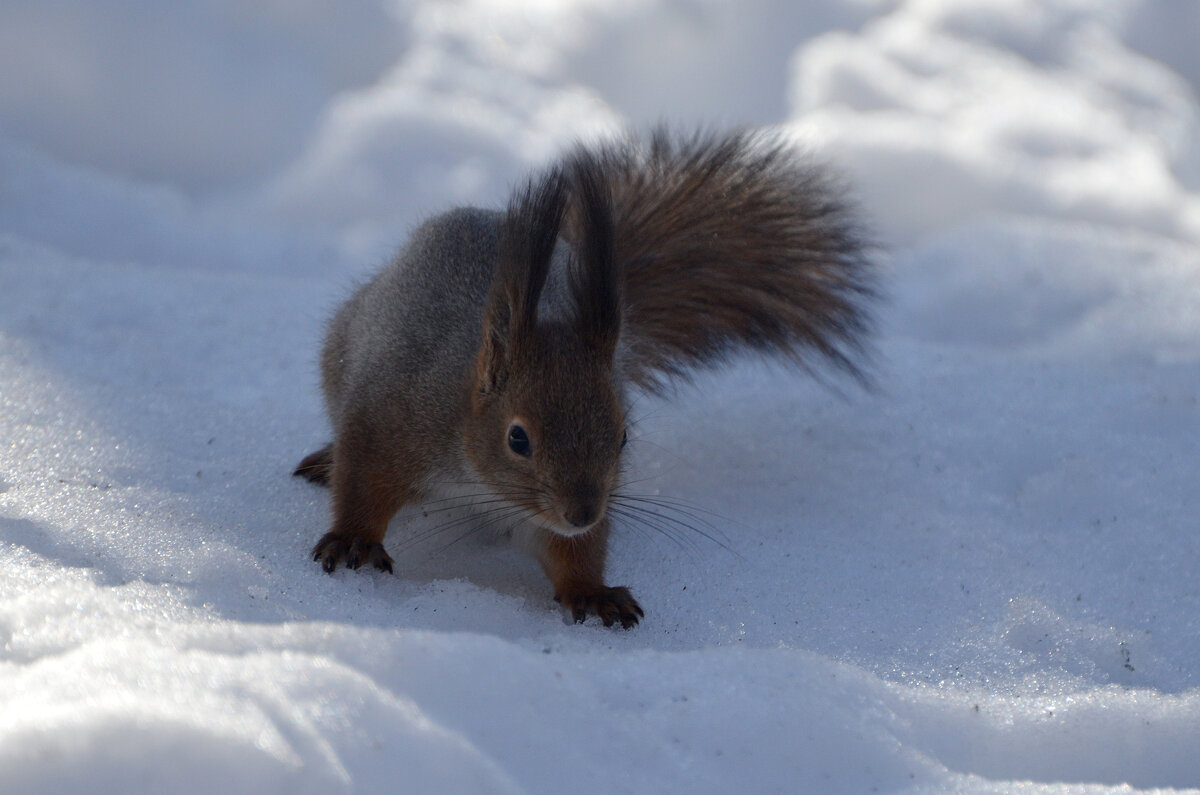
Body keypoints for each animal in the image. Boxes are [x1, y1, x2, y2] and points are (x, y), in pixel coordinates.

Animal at [290, 129, 873, 629]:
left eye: (623, 436)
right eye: (517, 438)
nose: (582, 512)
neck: (475, 472)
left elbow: (571, 552)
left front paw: (593, 592)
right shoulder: (393, 419)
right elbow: (362, 483)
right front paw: (354, 541)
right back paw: (324, 459)